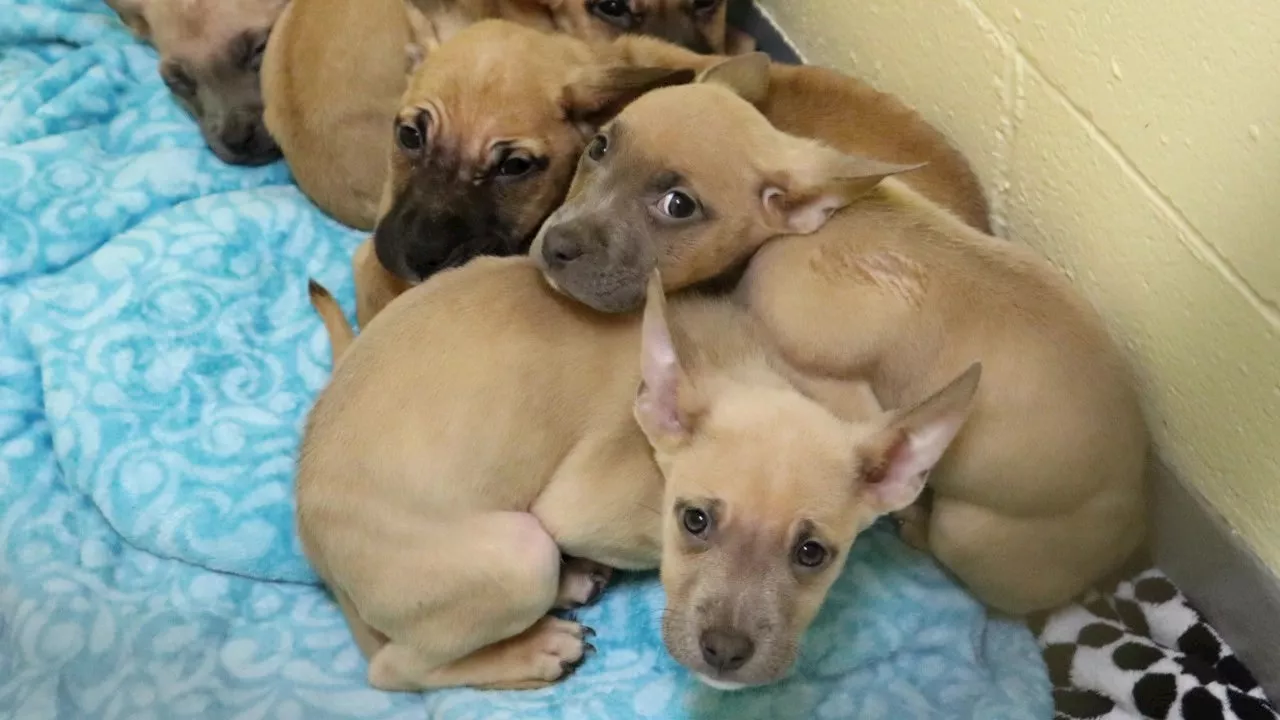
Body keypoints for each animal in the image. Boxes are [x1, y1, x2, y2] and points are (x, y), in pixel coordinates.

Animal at [299, 260, 977, 686]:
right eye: (693, 520)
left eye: (813, 553)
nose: (724, 653)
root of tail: (314, 545)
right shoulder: (581, 508)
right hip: (520, 553)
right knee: (398, 669)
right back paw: (537, 647)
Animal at [529, 58, 1152, 614]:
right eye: (598, 147)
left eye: (678, 205)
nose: (556, 247)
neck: (799, 231)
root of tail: (1128, 543)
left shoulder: (841, 393)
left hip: (969, 528)